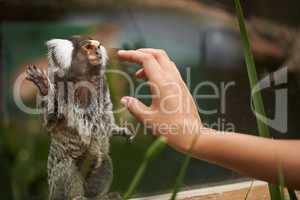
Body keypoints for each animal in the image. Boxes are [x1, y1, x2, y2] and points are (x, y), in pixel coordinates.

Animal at [26, 35, 134, 199]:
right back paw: (76, 196)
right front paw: (44, 87)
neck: (85, 77)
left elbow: (105, 118)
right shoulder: (60, 84)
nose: (97, 52)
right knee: (67, 166)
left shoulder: (103, 86)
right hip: (57, 186)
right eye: (88, 47)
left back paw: (99, 196)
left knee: (104, 160)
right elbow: (52, 121)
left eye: (98, 46)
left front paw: (120, 130)